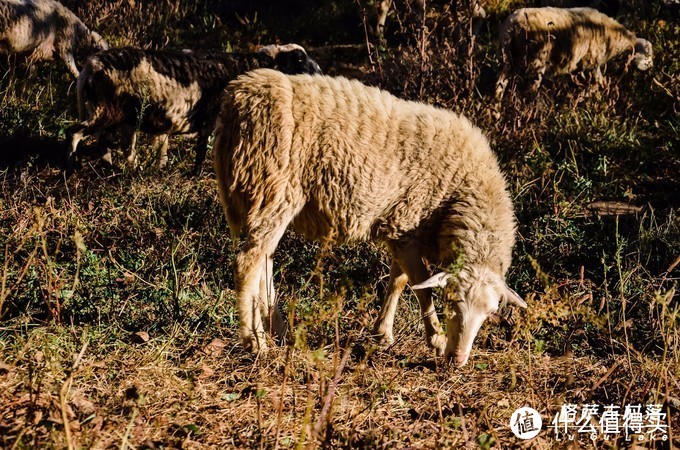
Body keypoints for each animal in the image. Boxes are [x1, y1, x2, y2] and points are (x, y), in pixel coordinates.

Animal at [67, 44, 322, 173]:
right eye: (300, 60)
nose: (319, 72)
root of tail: (90, 66)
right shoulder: (212, 120)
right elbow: (202, 152)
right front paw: (196, 175)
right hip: (105, 111)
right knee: (75, 133)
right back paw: (71, 166)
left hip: (117, 117)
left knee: (107, 145)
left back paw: (114, 170)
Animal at [215, 69, 528, 366]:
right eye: (451, 300)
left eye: (490, 312)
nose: (458, 359)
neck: (461, 191)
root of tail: (238, 98)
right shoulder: (407, 222)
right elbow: (421, 287)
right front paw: (436, 339)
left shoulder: (404, 229)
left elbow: (400, 280)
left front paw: (383, 332)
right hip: (272, 192)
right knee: (247, 264)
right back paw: (255, 342)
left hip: (264, 200)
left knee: (264, 263)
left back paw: (278, 331)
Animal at [494, 6, 652, 99]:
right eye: (648, 56)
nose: (650, 70)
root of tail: (512, 26)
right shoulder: (593, 61)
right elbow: (598, 81)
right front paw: (587, 95)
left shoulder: (580, 65)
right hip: (535, 61)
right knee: (530, 88)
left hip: (508, 59)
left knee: (500, 84)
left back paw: (497, 109)